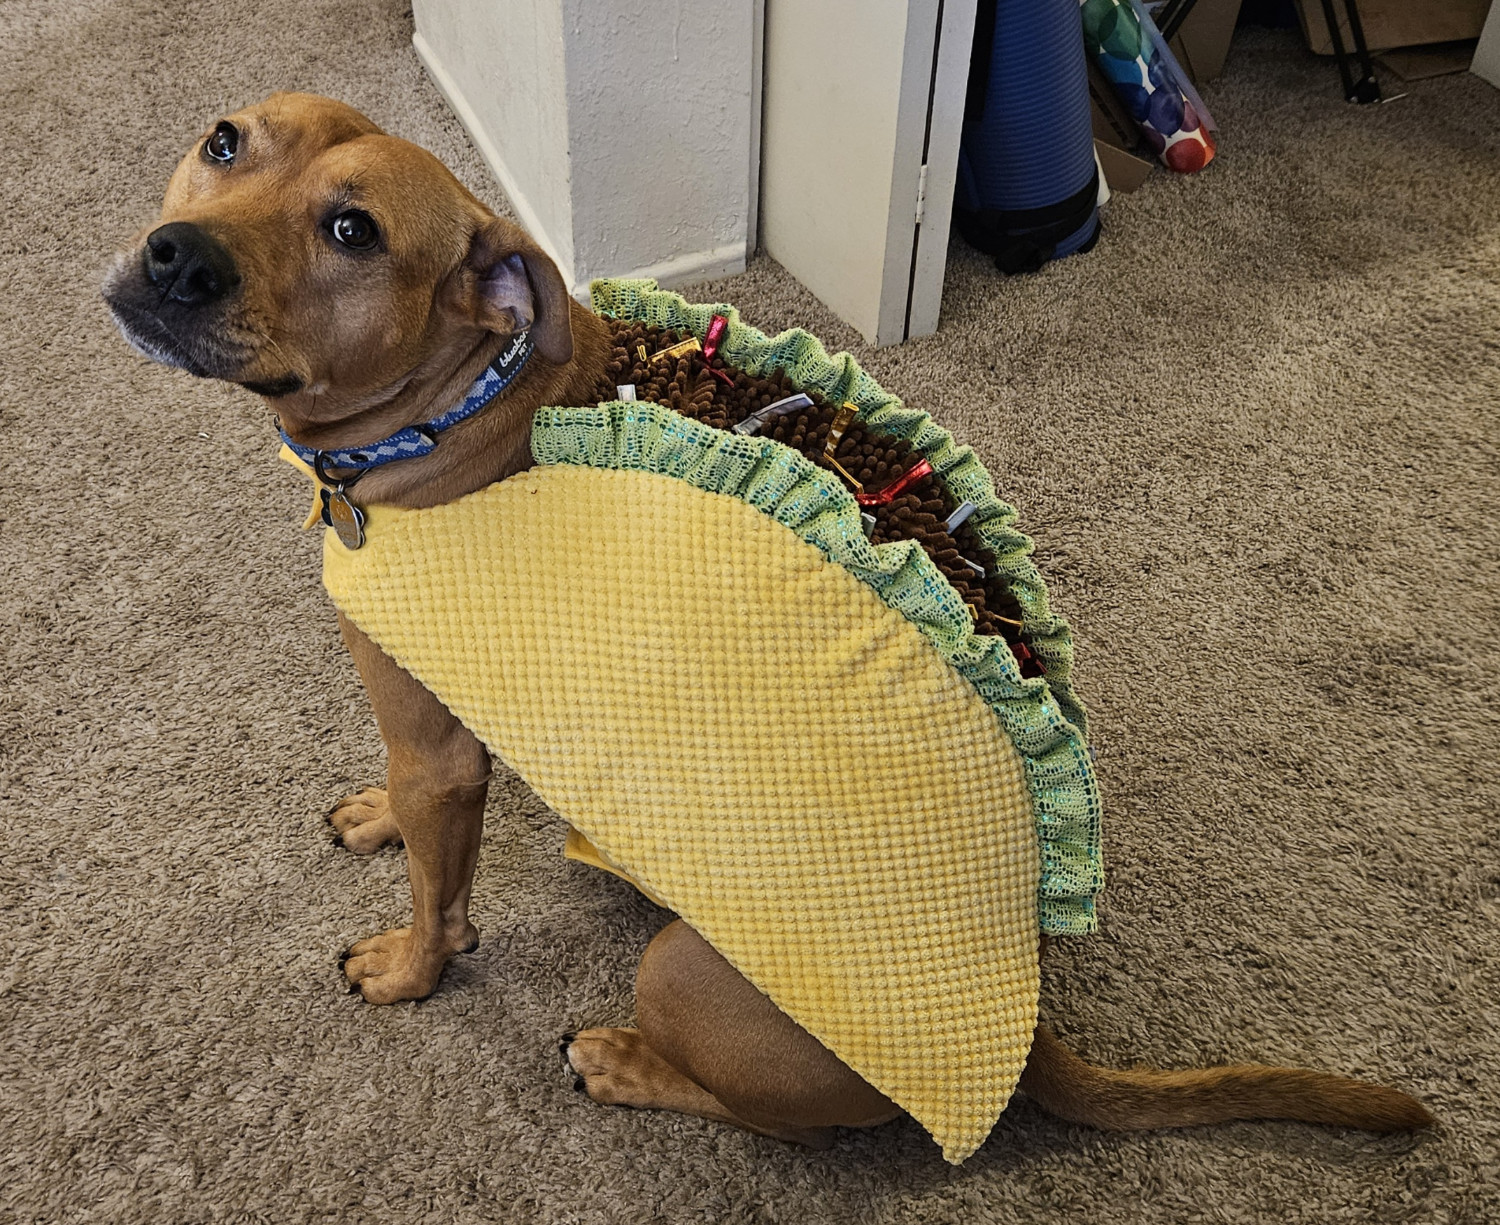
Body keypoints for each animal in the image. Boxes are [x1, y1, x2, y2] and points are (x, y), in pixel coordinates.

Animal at [99, 93, 1434, 1145]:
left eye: (354, 231)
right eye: (225, 142)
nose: (175, 258)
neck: (455, 400)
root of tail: (1029, 1017)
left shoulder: (439, 744)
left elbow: (440, 890)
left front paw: (409, 969)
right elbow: (422, 817)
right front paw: (374, 818)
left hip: (684, 970)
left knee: (776, 1118)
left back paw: (624, 1066)